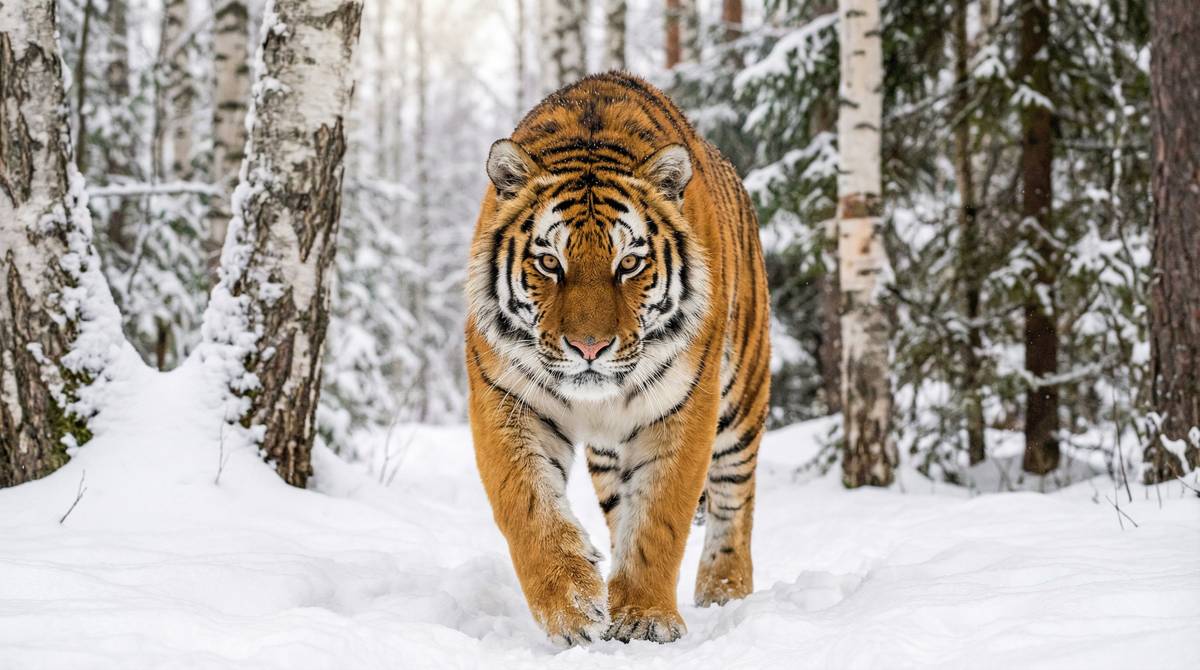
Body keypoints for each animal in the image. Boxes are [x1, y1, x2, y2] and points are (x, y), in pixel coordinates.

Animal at [465, 71, 769, 646]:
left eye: (628, 263)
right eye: (549, 263)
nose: (589, 348)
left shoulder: (684, 405)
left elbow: (658, 517)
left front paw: (645, 617)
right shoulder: (505, 396)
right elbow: (527, 505)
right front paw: (574, 604)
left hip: (742, 395)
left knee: (734, 496)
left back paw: (726, 592)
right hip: (610, 454)